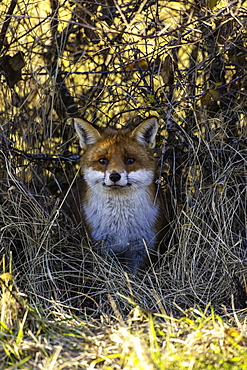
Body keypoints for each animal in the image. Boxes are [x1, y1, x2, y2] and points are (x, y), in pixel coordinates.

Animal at [69, 116, 170, 272]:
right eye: (102, 161)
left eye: (130, 160)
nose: (114, 176)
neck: (120, 225)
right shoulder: (100, 246)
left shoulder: (142, 249)